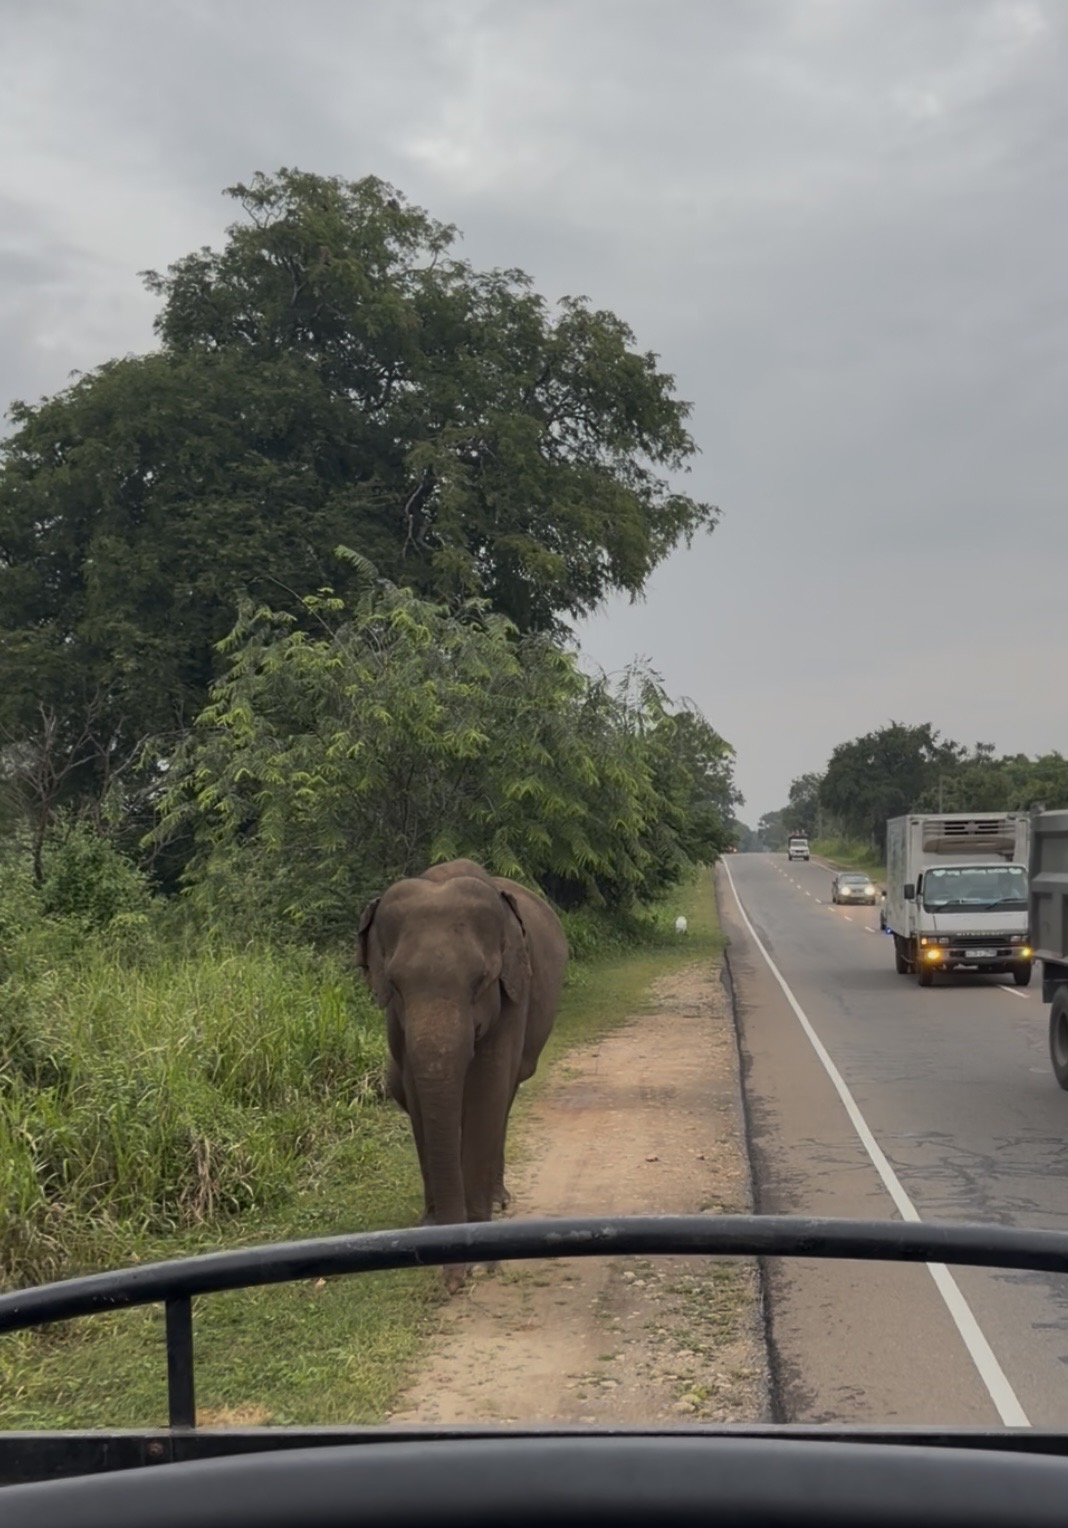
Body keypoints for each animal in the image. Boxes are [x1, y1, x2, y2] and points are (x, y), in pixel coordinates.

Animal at [356, 857, 568, 1293]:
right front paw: (431, 1226)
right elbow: (417, 1091)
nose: (453, 1283)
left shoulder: (513, 992)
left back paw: (499, 1197)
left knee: (506, 1097)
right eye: (395, 985)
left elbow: (488, 1088)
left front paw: (481, 1251)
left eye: (481, 980)